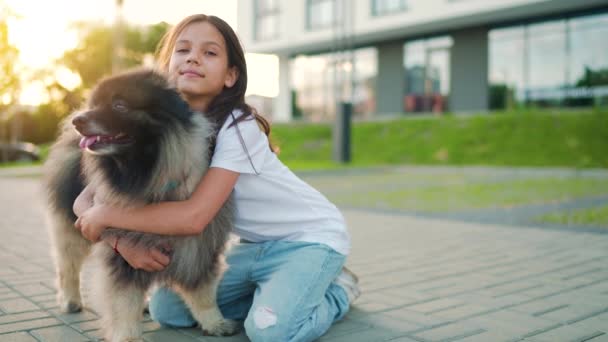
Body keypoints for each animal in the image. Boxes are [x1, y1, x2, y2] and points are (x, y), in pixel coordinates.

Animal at [44, 68, 238, 340]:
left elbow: (203, 292)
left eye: (119, 105)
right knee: (68, 267)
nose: (78, 121)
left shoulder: (198, 245)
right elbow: (123, 302)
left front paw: (214, 322)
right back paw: (70, 301)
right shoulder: (122, 253)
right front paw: (127, 335)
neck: (151, 176)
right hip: (70, 229)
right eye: (95, 105)